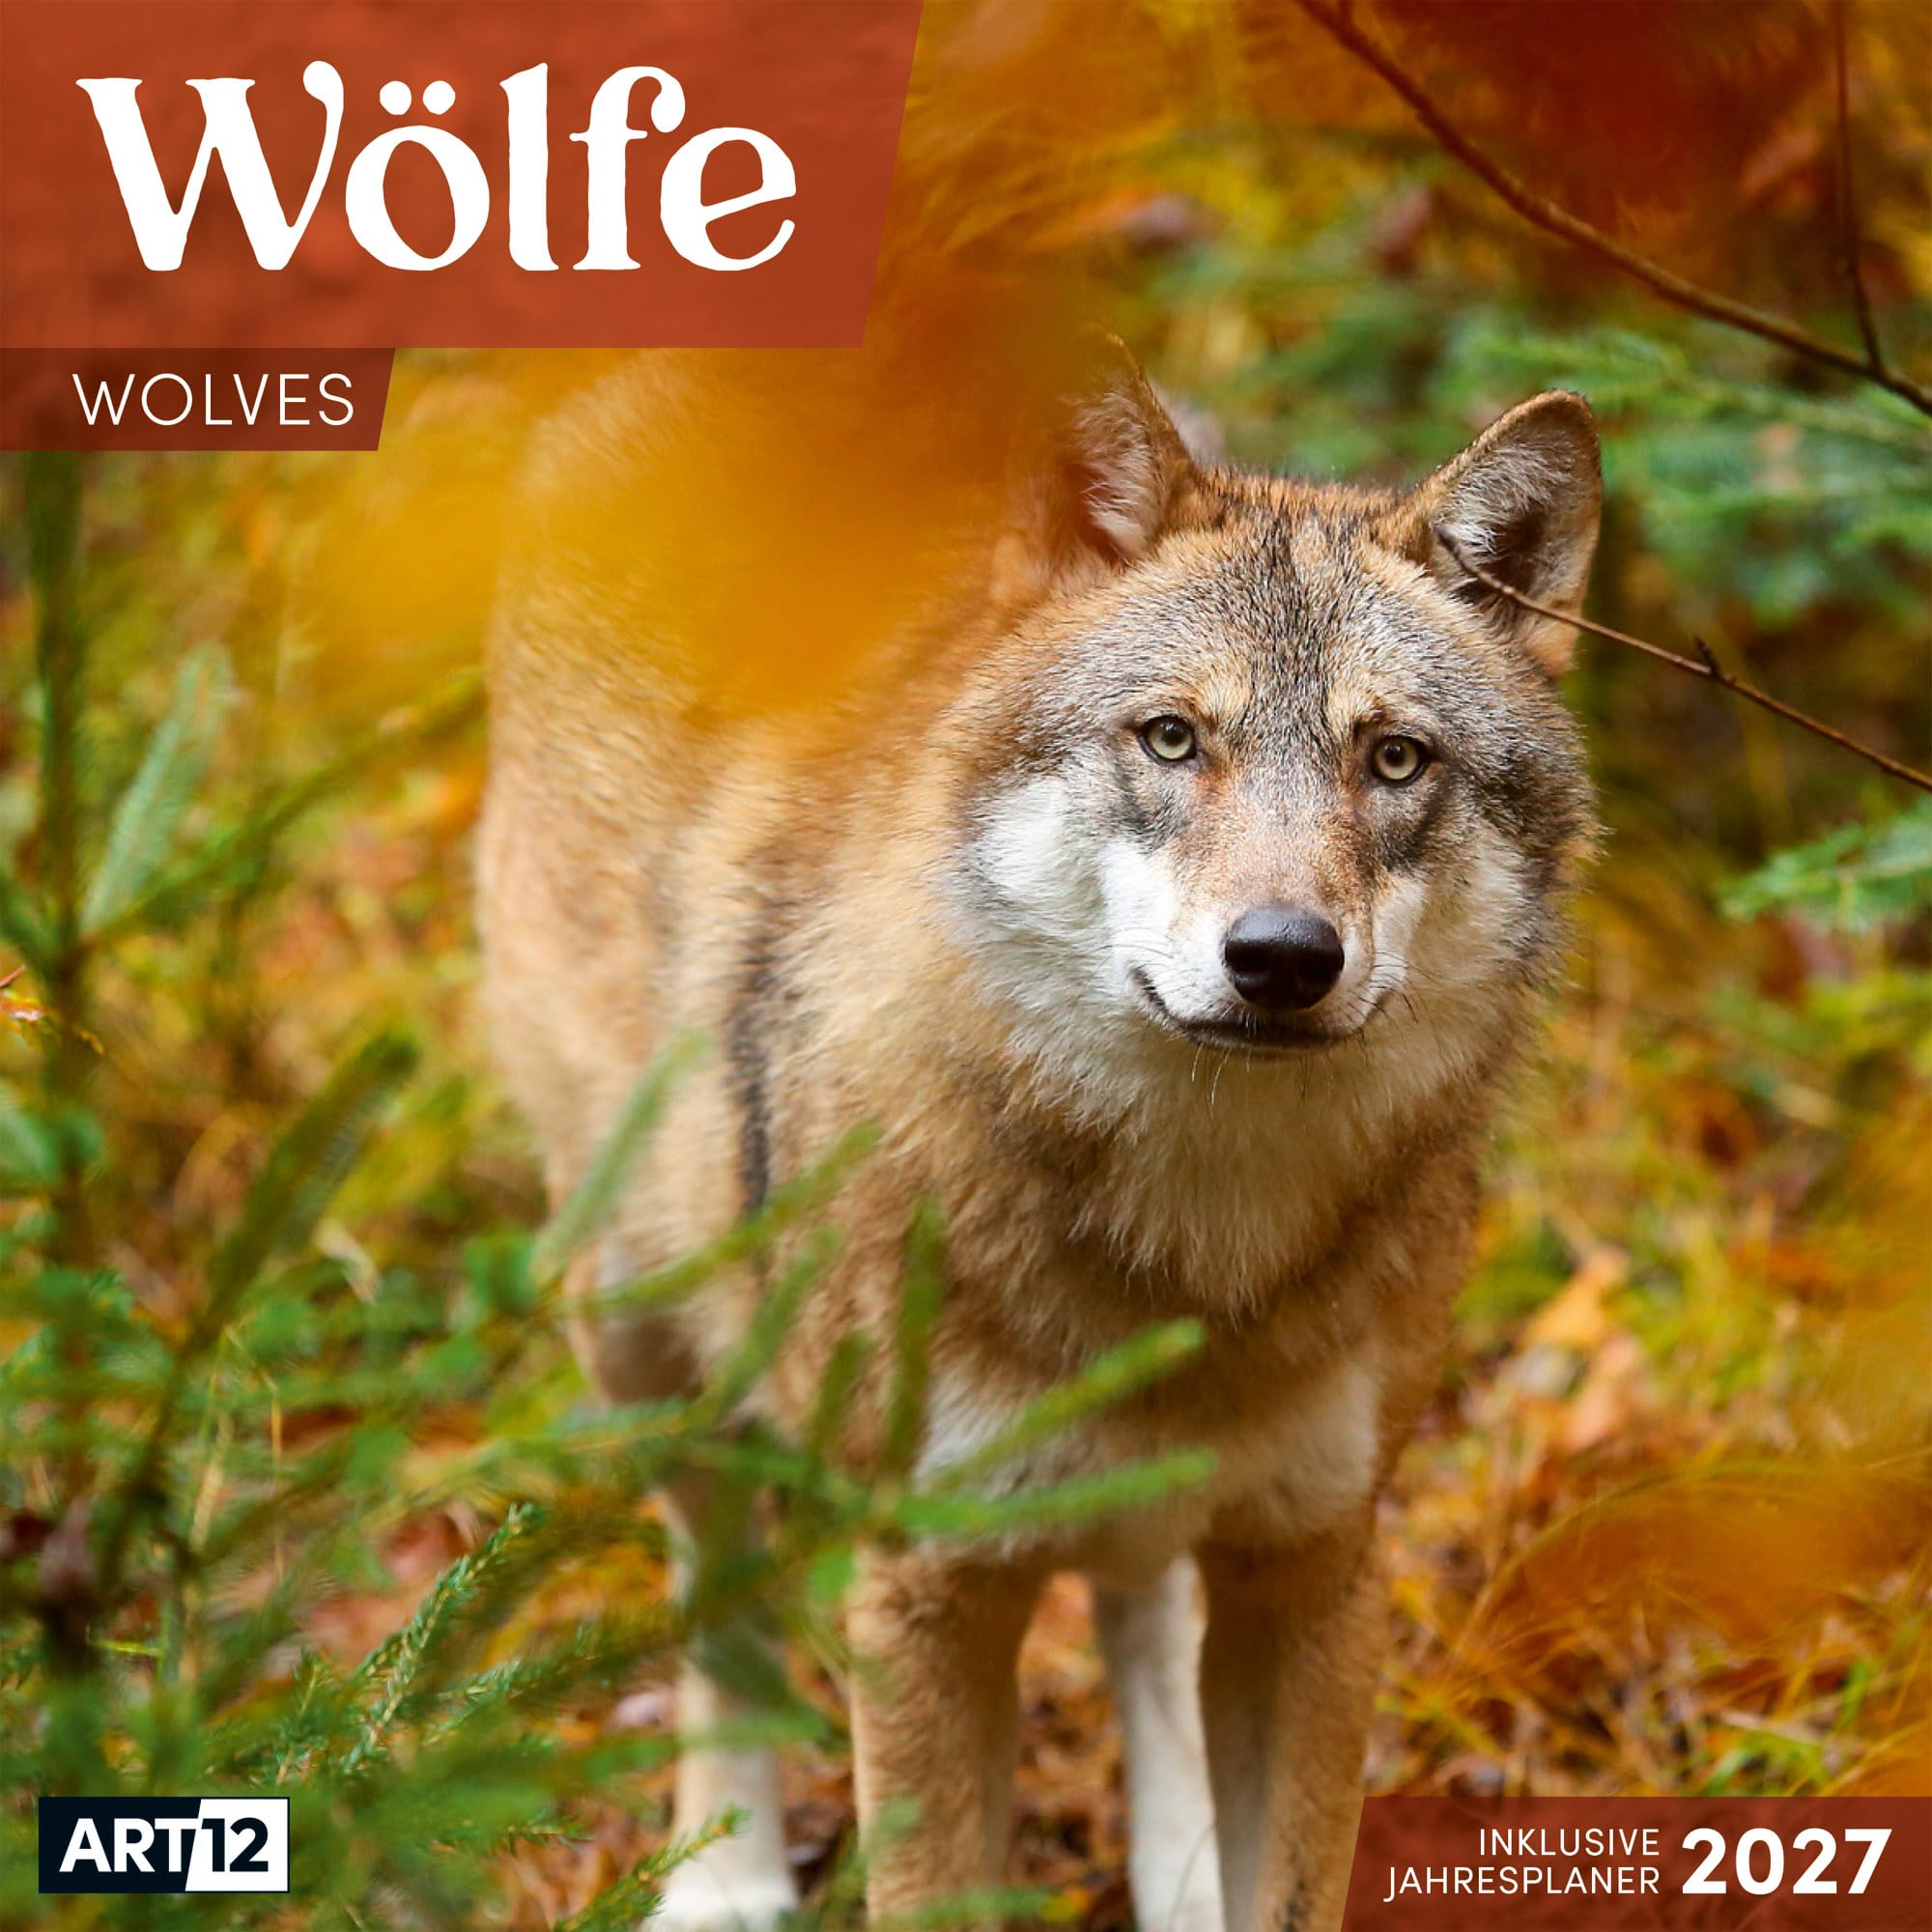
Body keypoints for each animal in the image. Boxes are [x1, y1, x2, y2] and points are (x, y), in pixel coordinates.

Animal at [478, 343, 1600, 1932]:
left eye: (1393, 760)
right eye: (1172, 738)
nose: (1281, 957)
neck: (1196, 1250)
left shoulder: (1316, 1567)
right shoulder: (925, 1588)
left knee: (1140, 1607)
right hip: (645, 1323)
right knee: (715, 1587)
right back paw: (726, 1879)